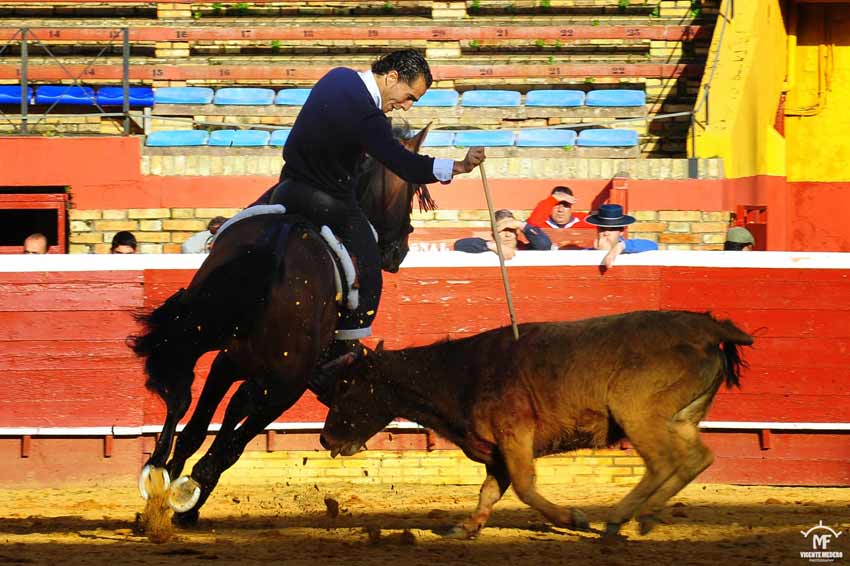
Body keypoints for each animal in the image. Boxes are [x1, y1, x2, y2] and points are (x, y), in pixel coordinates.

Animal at [129, 124, 434, 524]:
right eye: (411, 192)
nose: (399, 250)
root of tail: (272, 247)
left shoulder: (231, 363)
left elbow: (204, 425)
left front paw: (170, 496)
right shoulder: (285, 387)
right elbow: (229, 443)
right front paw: (185, 501)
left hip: (211, 341)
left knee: (183, 395)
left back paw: (158, 478)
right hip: (285, 384)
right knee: (228, 433)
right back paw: (182, 495)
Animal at [318, 312, 748, 540]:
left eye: (347, 387)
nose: (324, 438)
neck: (458, 374)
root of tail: (709, 328)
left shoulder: (515, 436)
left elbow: (524, 487)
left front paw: (573, 518)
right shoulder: (495, 453)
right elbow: (489, 492)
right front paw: (465, 527)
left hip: (636, 413)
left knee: (662, 463)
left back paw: (620, 518)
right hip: (680, 419)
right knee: (696, 457)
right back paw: (647, 515)